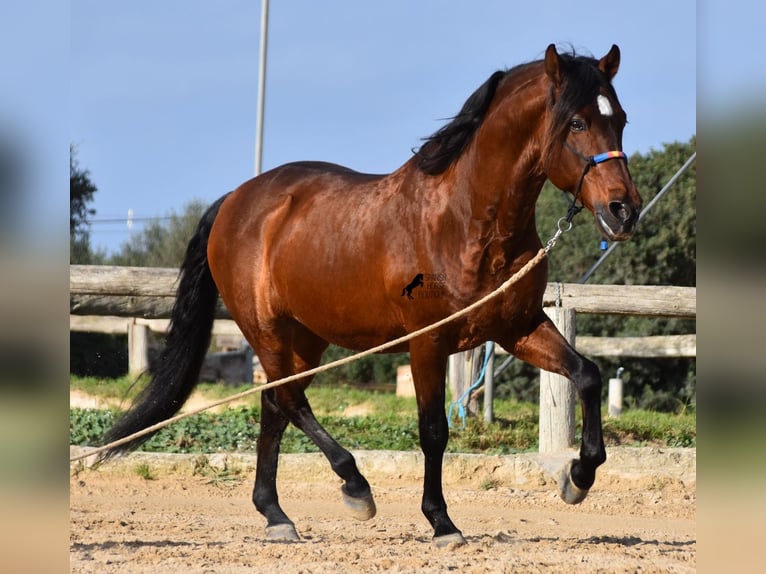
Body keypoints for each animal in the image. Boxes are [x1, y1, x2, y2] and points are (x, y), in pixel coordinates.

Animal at [100, 45, 640, 548]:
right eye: (576, 122)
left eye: (621, 119)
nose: (624, 210)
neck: (467, 223)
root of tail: (235, 200)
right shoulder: (428, 343)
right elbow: (433, 430)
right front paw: (442, 523)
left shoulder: (518, 328)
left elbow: (588, 375)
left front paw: (578, 477)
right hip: (266, 330)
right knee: (289, 399)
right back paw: (355, 486)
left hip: (306, 337)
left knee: (275, 404)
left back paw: (276, 515)